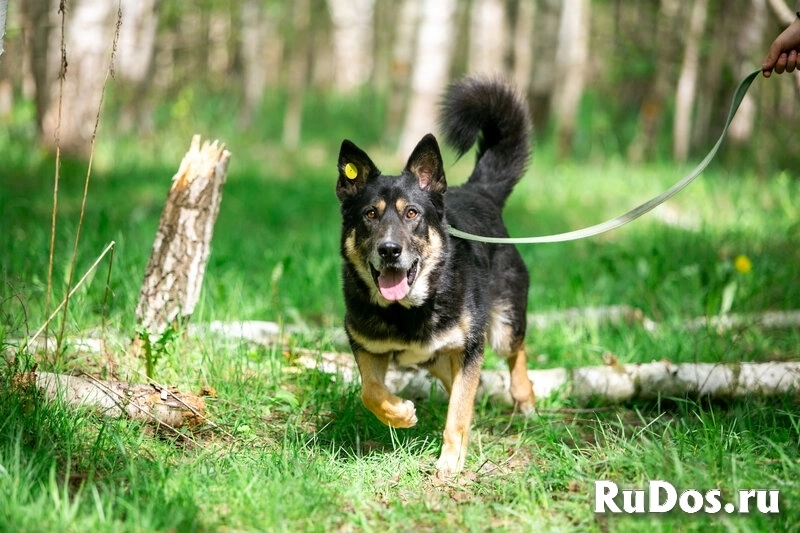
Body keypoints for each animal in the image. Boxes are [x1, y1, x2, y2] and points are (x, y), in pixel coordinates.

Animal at [334, 76, 536, 474]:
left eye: (411, 213)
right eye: (369, 214)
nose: (389, 250)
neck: (407, 310)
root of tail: (479, 191)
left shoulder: (471, 348)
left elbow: (458, 410)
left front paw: (451, 460)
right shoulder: (365, 344)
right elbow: (370, 391)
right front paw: (398, 413)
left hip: (502, 326)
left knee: (515, 351)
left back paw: (525, 399)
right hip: (439, 358)